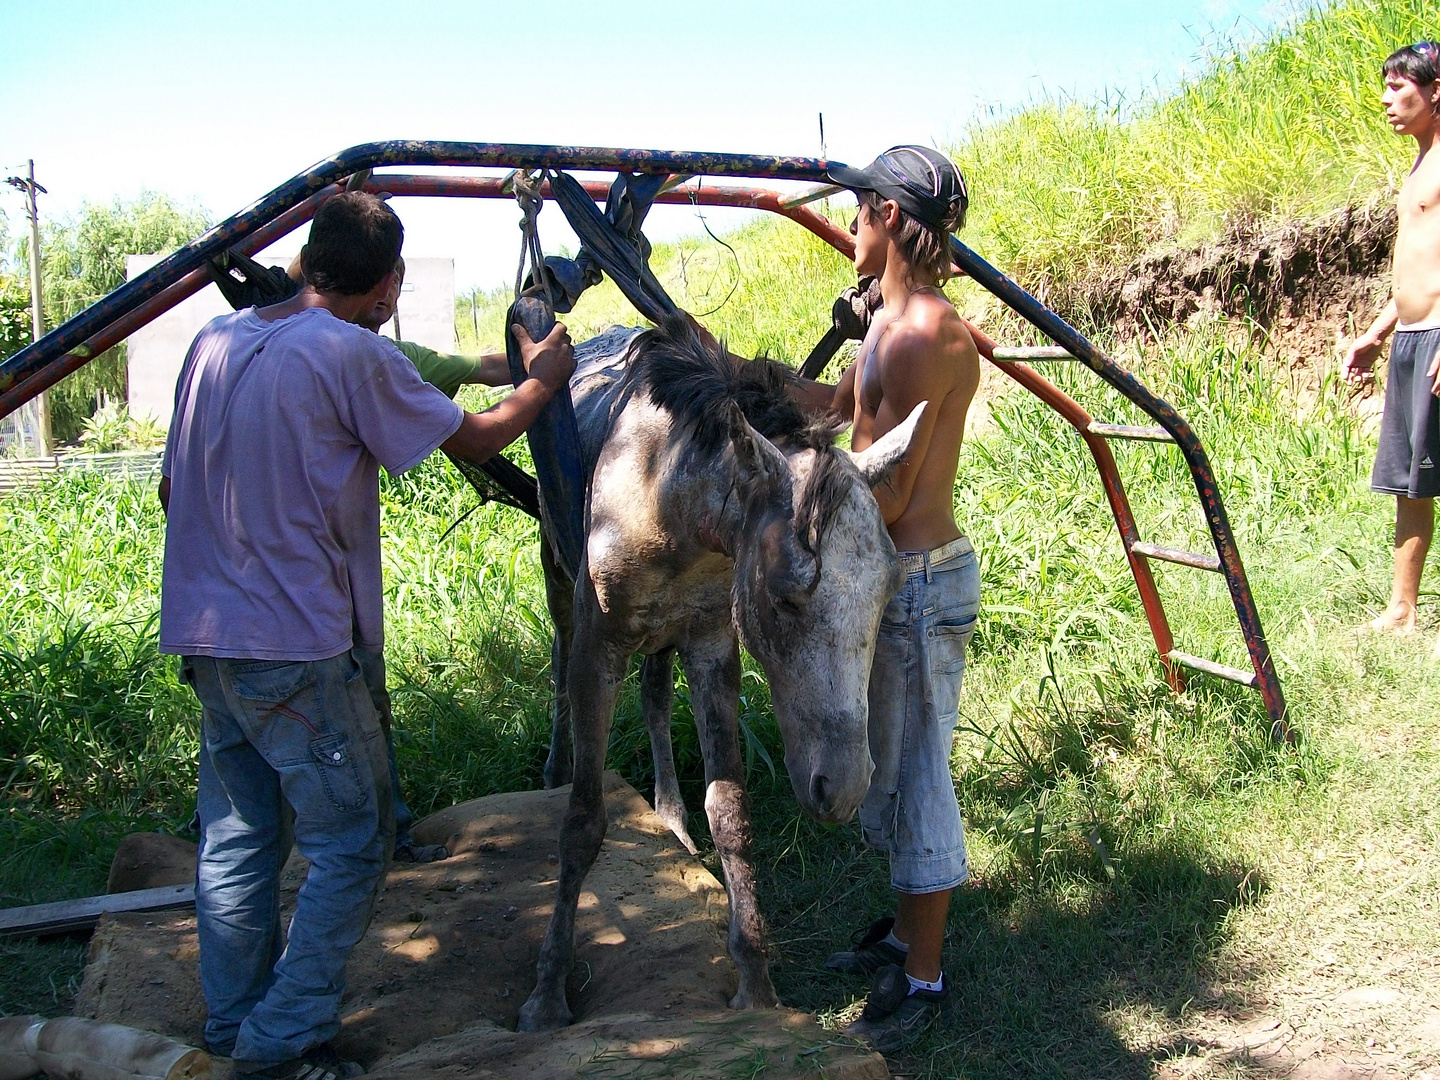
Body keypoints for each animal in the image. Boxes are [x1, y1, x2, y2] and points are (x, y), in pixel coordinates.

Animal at [521, 315, 921, 1031]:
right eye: (786, 598)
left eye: (890, 589)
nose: (845, 788)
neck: (664, 494)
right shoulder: (599, 647)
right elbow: (583, 822)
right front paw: (547, 995)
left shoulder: (711, 645)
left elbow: (730, 811)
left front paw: (754, 985)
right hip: (557, 577)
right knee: (561, 670)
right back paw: (555, 767)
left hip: (665, 637)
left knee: (655, 696)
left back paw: (672, 821)